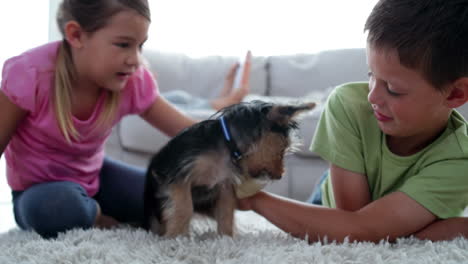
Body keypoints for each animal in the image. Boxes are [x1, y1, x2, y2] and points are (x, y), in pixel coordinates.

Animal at [144, 99, 316, 237]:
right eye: (281, 150)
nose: (280, 175)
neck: (228, 145)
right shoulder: (180, 175)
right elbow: (184, 207)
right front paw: (177, 237)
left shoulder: (225, 185)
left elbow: (226, 212)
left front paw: (226, 238)